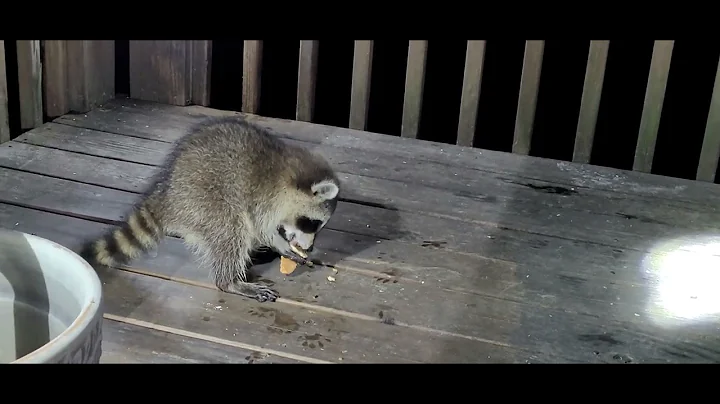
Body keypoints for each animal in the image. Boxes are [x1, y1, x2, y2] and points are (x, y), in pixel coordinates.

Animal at [81, 115, 340, 302]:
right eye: (312, 223)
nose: (310, 247)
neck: (286, 173)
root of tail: (167, 194)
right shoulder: (262, 198)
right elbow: (260, 227)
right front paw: (281, 245)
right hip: (205, 201)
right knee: (232, 230)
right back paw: (230, 281)